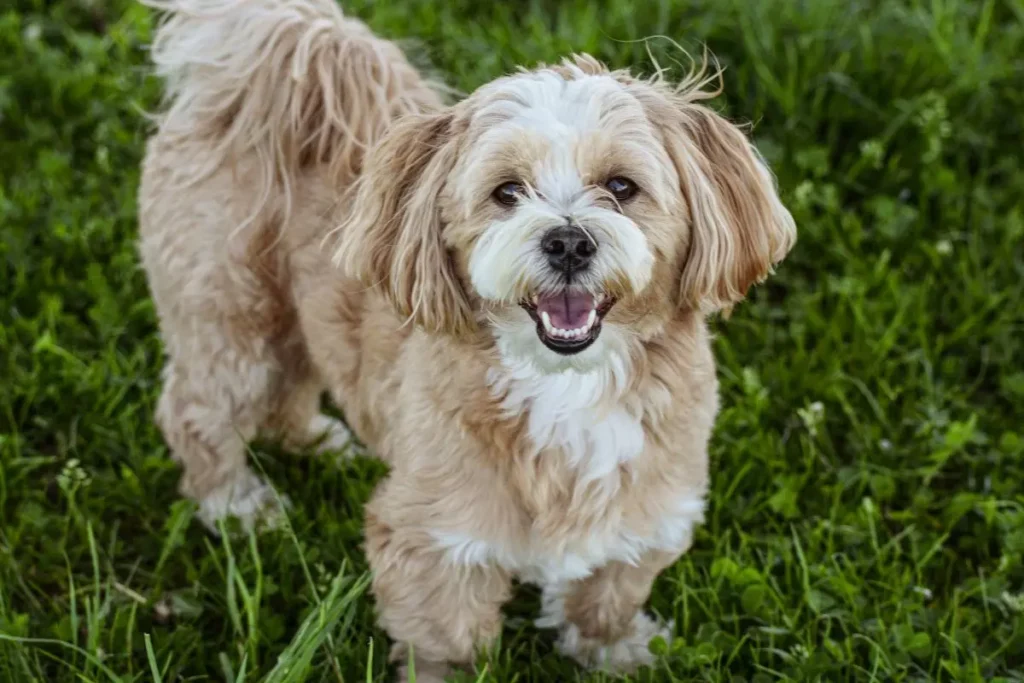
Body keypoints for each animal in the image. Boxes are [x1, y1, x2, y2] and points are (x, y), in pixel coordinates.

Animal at [136, 0, 794, 675]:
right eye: (507, 192)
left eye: (620, 186)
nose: (568, 241)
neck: (566, 389)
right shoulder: (433, 537)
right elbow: (444, 636)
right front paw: (445, 672)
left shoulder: (644, 514)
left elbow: (606, 591)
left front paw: (612, 651)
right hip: (230, 316)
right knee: (199, 410)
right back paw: (235, 504)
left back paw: (318, 441)